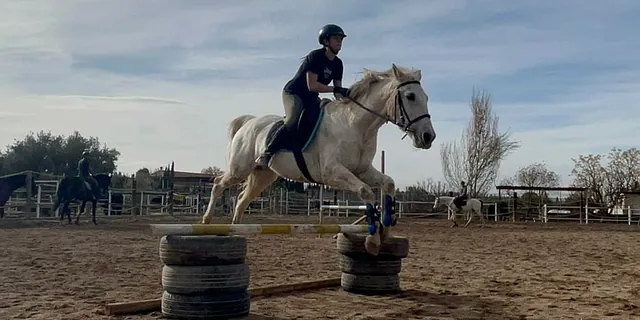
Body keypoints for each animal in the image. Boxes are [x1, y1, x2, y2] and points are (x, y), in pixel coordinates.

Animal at [202, 63, 438, 255]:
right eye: (410, 96)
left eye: (426, 97)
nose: (428, 137)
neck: (356, 126)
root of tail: (249, 122)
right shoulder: (332, 172)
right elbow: (366, 193)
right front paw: (372, 241)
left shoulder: (362, 170)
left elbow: (388, 184)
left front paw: (386, 231)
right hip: (239, 169)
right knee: (218, 184)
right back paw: (207, 221)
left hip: (263, 176)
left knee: (242, 199)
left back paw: (236, 228)